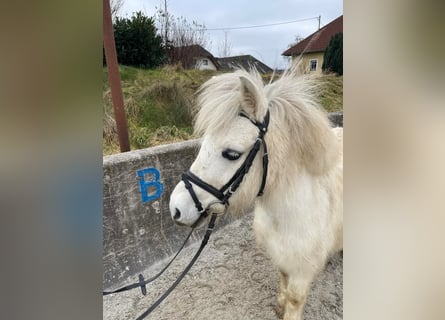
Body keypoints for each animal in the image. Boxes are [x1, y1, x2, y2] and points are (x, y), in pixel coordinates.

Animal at [168, 68, 342, 320]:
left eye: (231, 153)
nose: (176, 208)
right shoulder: (282, 257)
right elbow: (283, 280)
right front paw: (279, 305)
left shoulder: (302, 269)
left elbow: (295, 298)